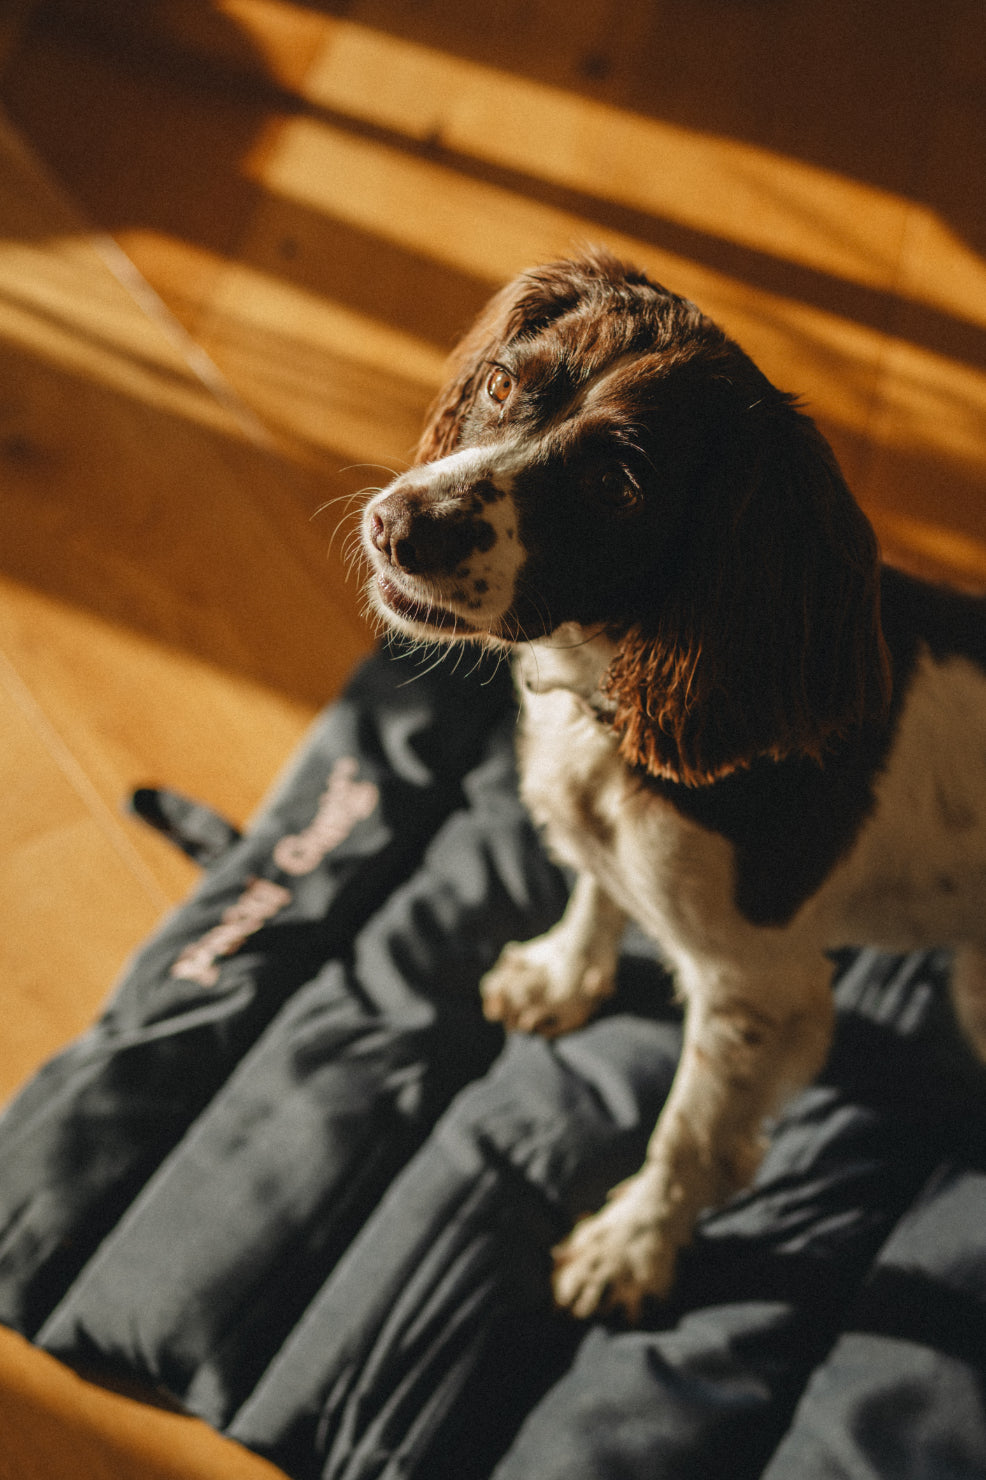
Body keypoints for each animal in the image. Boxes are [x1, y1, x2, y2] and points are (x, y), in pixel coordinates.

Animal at [356, 248, 983, 1326]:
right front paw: (560, 977)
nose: (400, 527)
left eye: (617, 485)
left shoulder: (755, 990)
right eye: (501, 385)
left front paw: (630, 1247)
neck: (611, 713)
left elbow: (687, 1135)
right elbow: (597, 892)